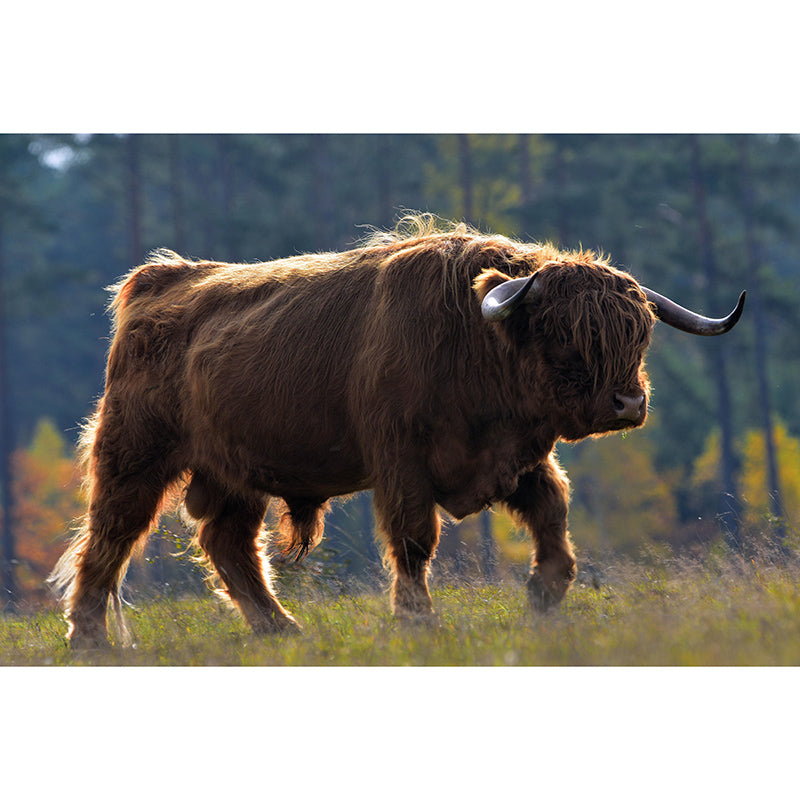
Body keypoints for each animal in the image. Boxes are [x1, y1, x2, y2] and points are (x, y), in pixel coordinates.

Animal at [49, 215, 745, 648]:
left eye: (639, 332)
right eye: (565, 332)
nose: (628, 402)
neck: (476, 337)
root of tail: (159, 281)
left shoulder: (517, 460)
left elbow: (554, 516)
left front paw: (542, 595)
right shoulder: (401, 464)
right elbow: (414, 540)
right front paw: (417, 620)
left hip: (234, 475)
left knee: (229, 545)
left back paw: (283, 630)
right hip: (135, 457)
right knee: (108, 538)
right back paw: (88, 638)